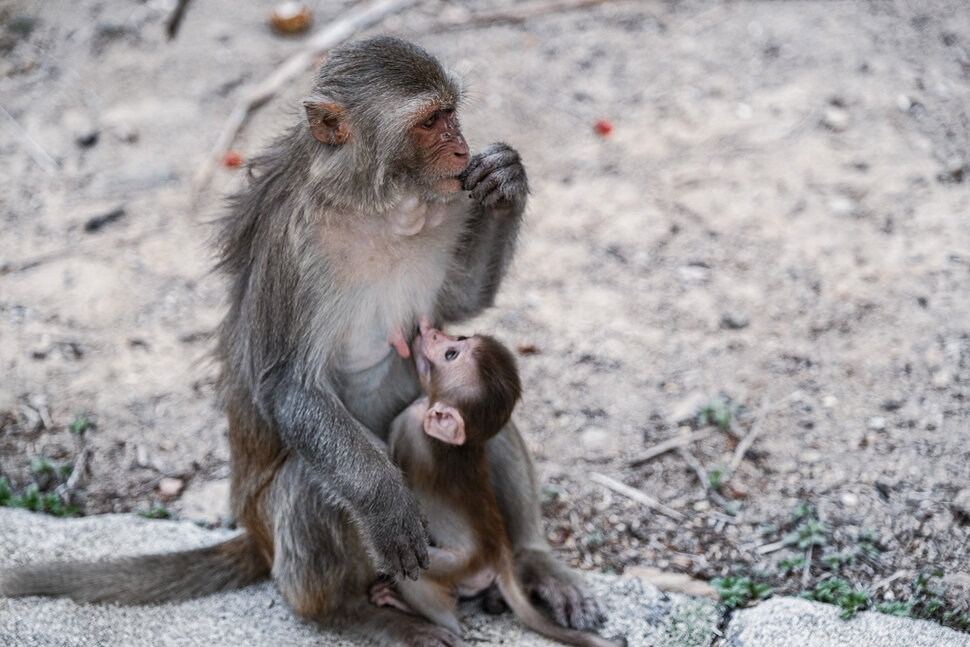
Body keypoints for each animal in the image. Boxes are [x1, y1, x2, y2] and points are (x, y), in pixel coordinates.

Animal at [0, 36, 596, 647]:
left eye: (452, 113)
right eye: (432, 121)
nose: (462, 149)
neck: (379, 205)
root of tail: (256, 539)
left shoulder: (448, 201)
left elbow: (458, 304)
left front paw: (504, 179)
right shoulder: (295, 245)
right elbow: (287, 386)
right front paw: (385, 503)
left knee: (483, 427)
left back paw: (533, 561)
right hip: (278, 526)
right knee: (311, 483)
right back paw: (352, 614)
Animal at [374, 326, 624, 647]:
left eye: (450, 354)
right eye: (459, 340)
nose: (433, 332)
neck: (463, 442)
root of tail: (500, 557)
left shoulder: (406, 424)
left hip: (457, 566)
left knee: (423, 583)